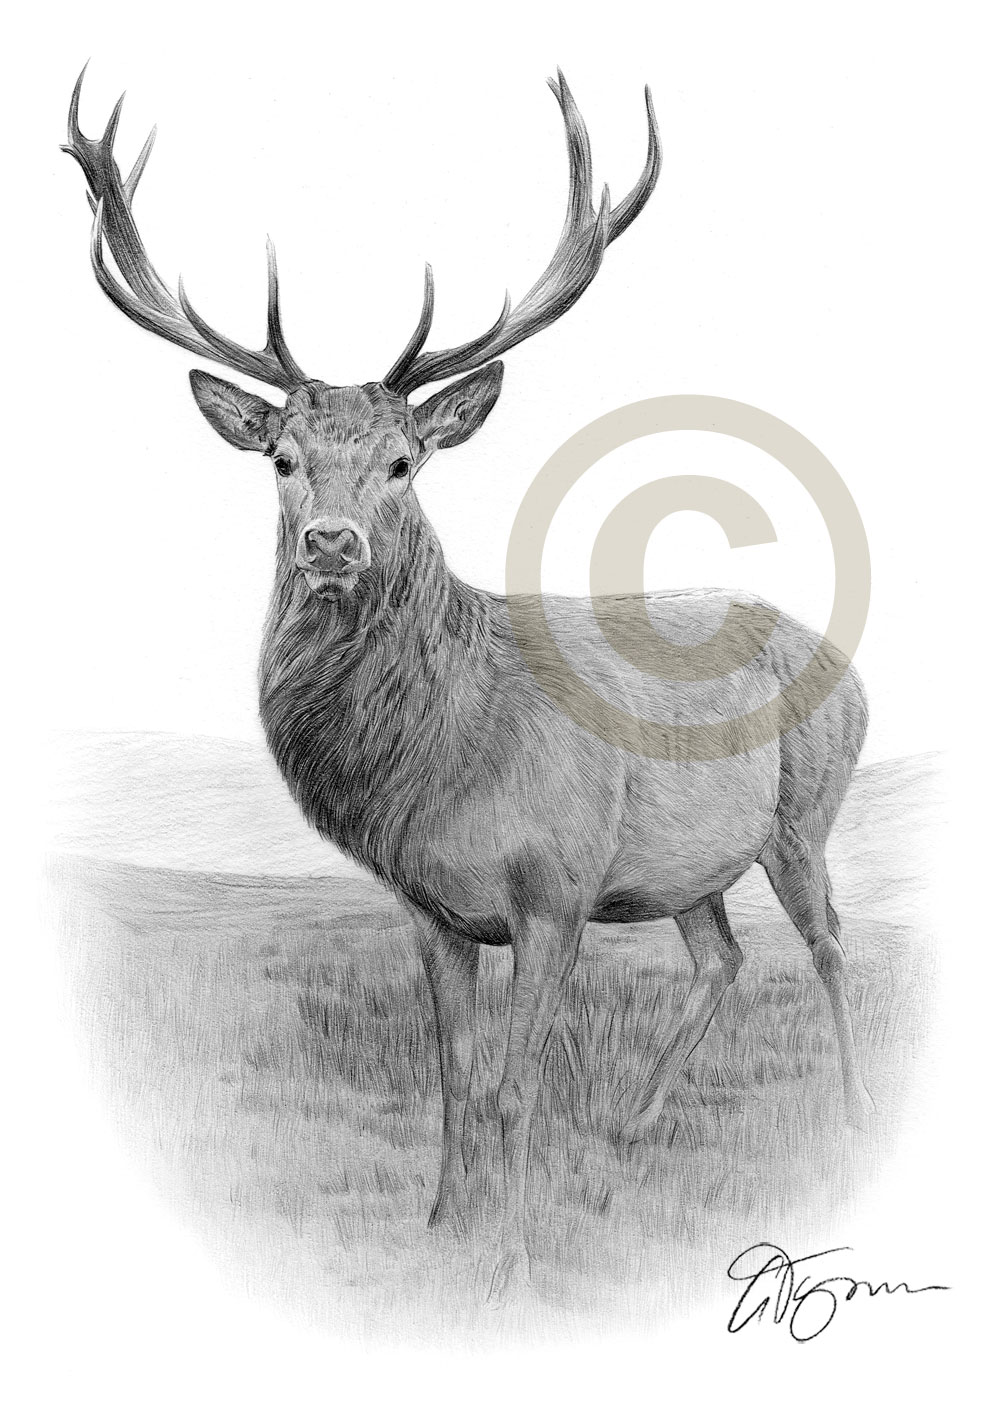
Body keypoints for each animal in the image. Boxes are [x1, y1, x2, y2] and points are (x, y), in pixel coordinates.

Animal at [64, 67, 874, 1300]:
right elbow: (453, 1078)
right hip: (689, 867)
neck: (447, 761)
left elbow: (509, 1083)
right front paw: (441, 1227)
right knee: (724, 958)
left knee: (830, 948)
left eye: (405, 461)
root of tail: (849, 663)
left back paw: (852, 1120)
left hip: (804, 815)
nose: (333, 543)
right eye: (282, 459)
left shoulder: (556, 886)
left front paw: (509, 1260)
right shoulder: (435, 909)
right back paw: (624, 1137)